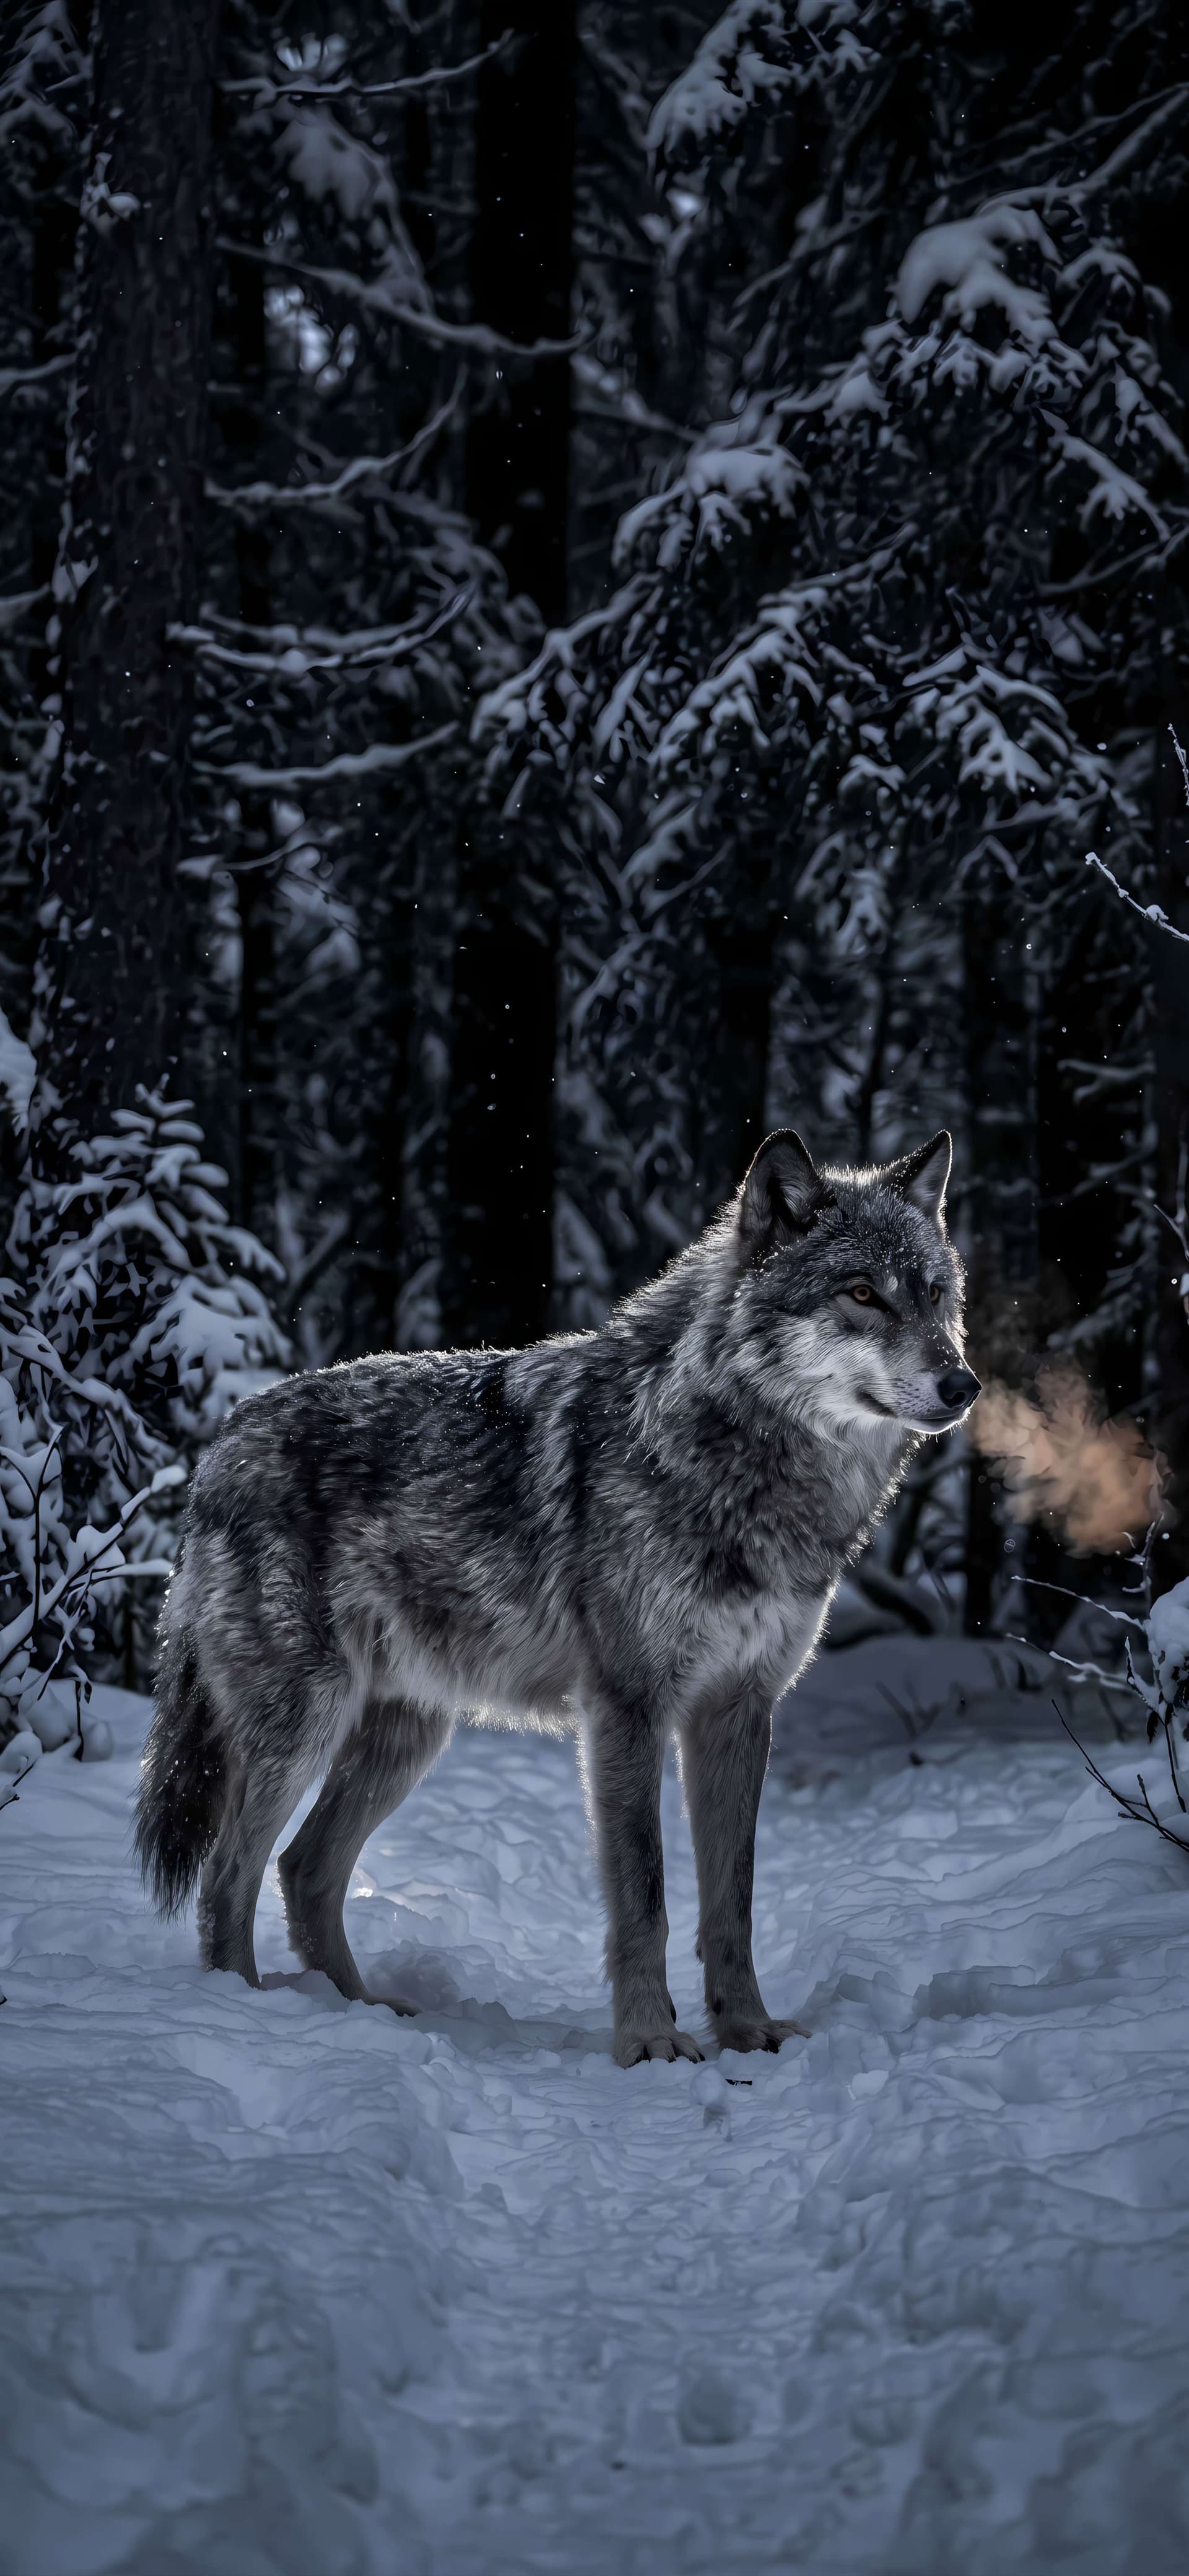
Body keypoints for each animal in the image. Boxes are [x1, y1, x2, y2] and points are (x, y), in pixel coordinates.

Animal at [136, 1127, 978, 2065]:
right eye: (862, 1293)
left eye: (934, 1294)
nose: (964, 1384)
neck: (732, 1456)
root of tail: (218, 1447)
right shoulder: (628, 1706)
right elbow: (646, 1893)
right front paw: (650, 2040)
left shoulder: (739, 1709)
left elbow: (734, 1901)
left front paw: (747, 2029)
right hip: (304, 1726)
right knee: (228, 1876)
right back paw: (244, 2017)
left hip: (405, 1737)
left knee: (304, 1869)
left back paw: (357, 2013)